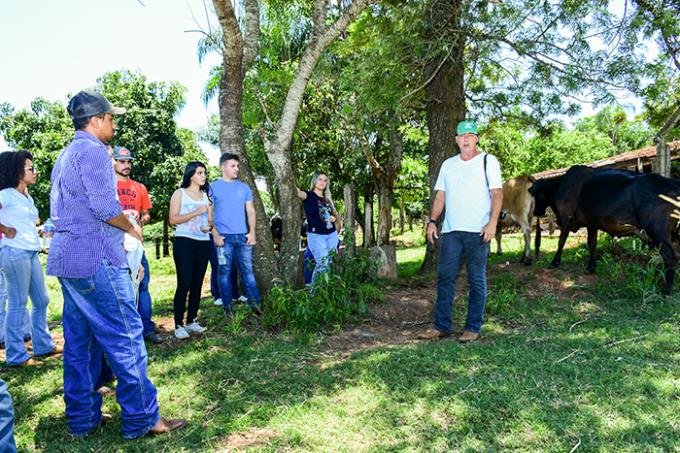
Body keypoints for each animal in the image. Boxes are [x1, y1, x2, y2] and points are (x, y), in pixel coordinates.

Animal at [532, 165, 680, 294]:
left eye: (533, 193)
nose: (534, 212)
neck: (559, 186)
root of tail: (673, 182)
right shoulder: (591, 223)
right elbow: (592, 244)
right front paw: (591, 267)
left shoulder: (566, 220)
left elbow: (561, 242)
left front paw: (554, 263)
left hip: (657, 230)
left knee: (669, 256)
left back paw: (666, 290)